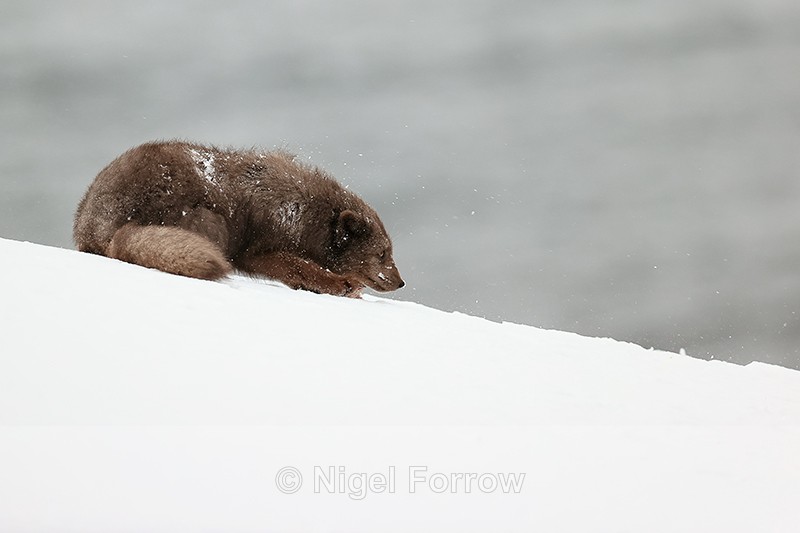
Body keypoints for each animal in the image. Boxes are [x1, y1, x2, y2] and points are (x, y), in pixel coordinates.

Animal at [73, 140, 404, 297]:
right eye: (382, 253)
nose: (401, 282)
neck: (304, 212)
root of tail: (95, 226)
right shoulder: (260, 249)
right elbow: (299, 268)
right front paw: (343, 285)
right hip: (209, 221)